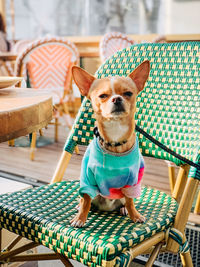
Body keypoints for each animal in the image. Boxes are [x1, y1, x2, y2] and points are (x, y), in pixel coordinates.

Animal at [70, 61, 150, 228]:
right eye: (103, 96)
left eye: (128, 93)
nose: (117, 99)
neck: (115, 135)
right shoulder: (87, 179)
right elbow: (86, 201)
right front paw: (80, 218)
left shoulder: (132, 182)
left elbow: (130, 201)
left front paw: (134, 215)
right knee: (85, 200)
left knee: (124, 201)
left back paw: (124, 209)